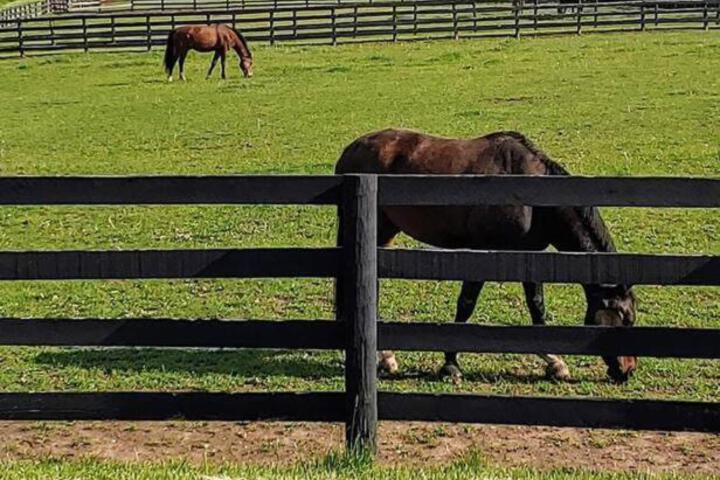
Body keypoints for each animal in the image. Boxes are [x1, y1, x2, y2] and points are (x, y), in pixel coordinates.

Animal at [334, 129, 638, 384]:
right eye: (625, 319)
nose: (628, 370)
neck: (532, 197)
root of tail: (351, 150)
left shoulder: (529, 255)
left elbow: (536, 305)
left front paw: (555, 363)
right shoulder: (481, 253)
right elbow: (466, 304)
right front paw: (450, 365)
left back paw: (383, 358)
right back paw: (383, 357)